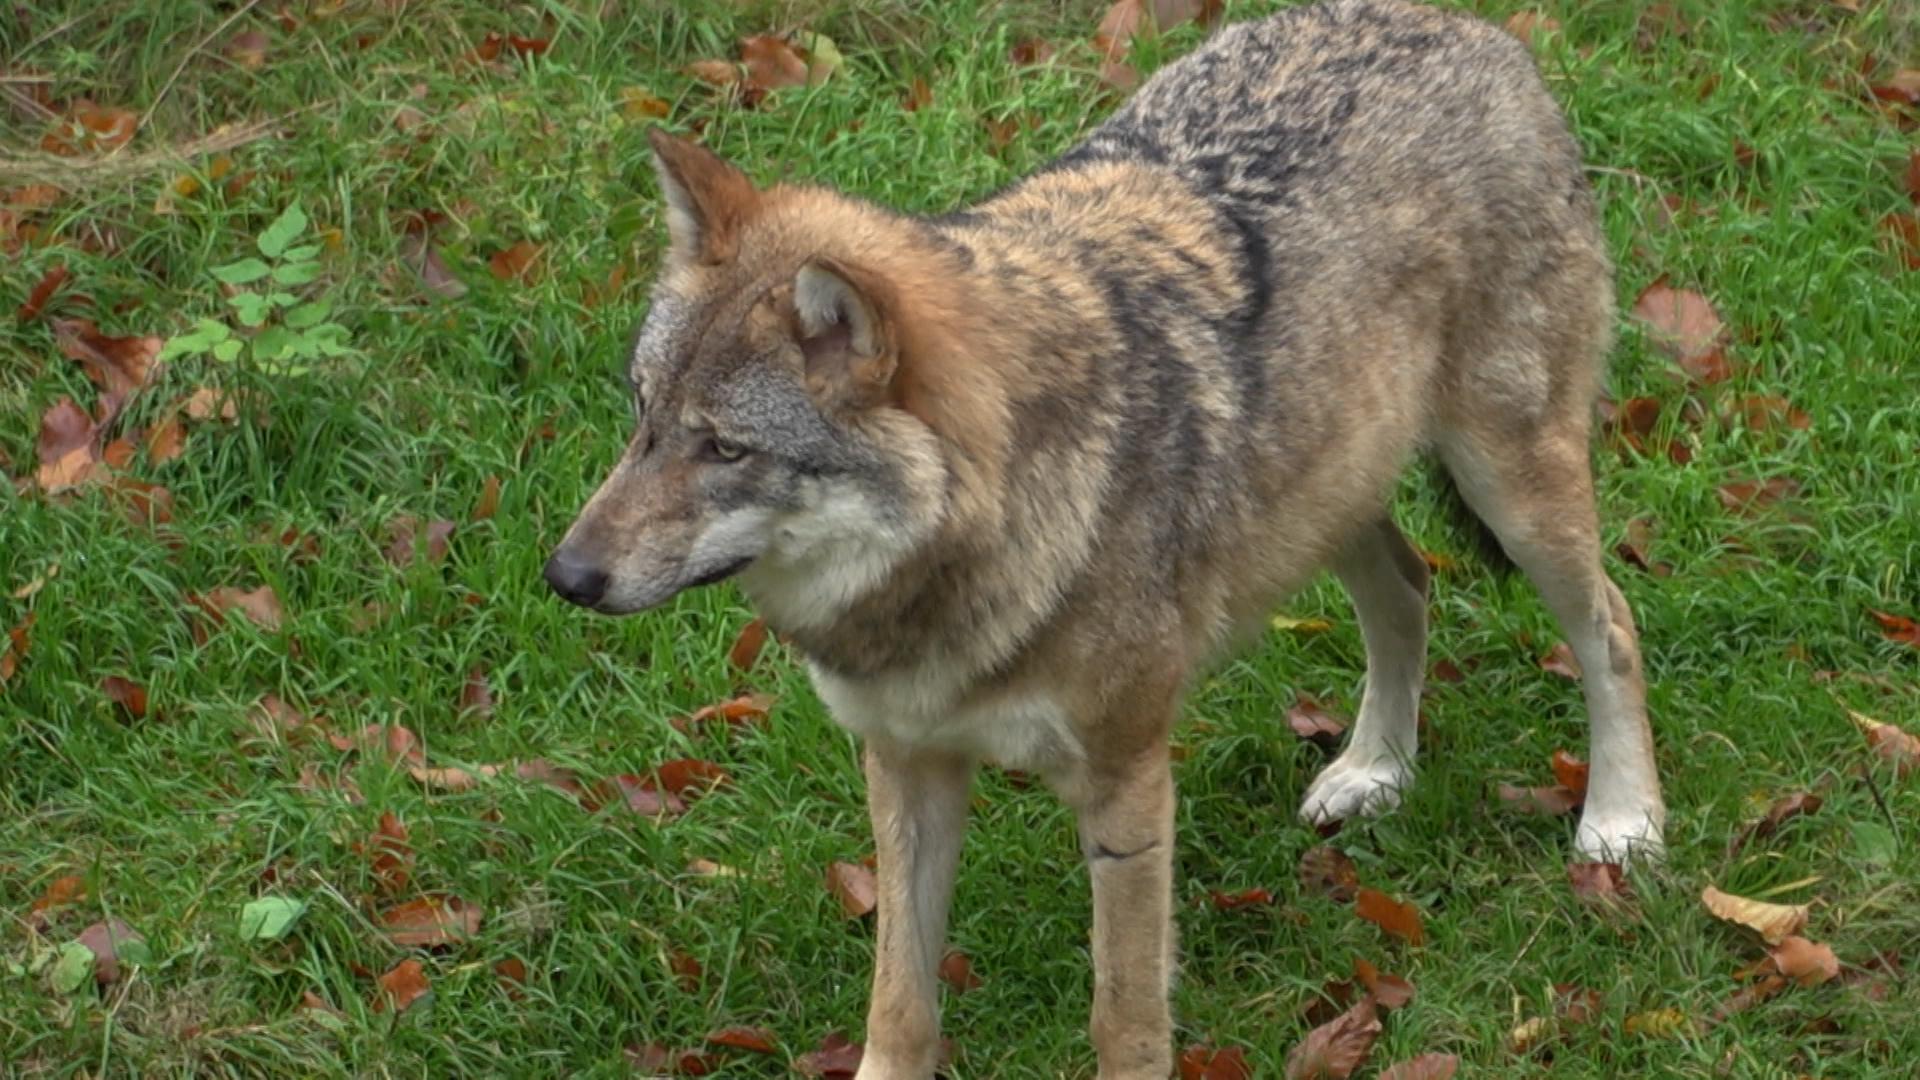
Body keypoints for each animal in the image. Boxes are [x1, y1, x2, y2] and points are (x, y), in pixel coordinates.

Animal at [545, 0, 1666, 1074]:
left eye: (725, 448)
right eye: (643, 416)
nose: (564, 576)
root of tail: (1479, 34)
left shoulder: (1128, 783)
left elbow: (1122, 1019)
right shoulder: (904, 767)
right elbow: (900, 1006)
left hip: (1511, 487)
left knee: (1611, 623)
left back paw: (1622, 824)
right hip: (1327, 494)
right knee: (1408, 587)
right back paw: (1377, 770)